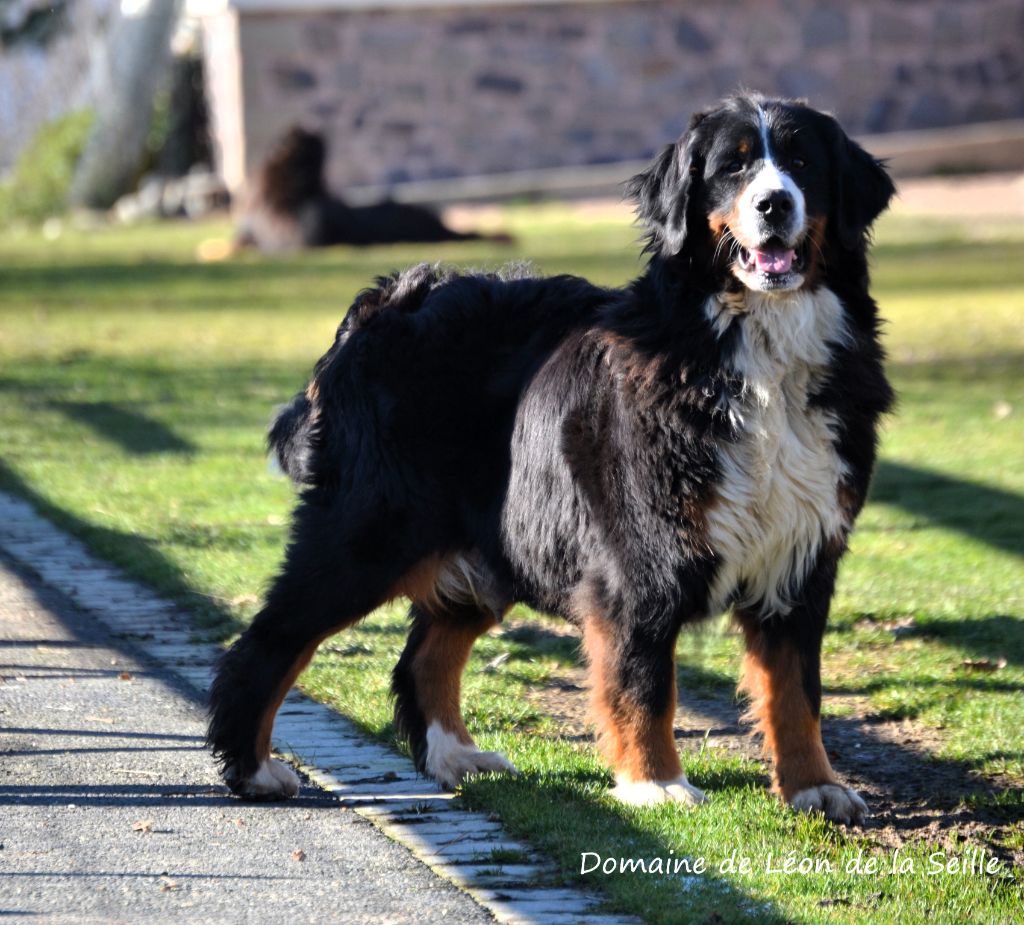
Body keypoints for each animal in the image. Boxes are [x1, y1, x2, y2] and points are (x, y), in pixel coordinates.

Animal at [209, 97, 897, 827]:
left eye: (801, 162)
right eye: (732, 167)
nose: (774, 203)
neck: (751, 345)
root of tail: (389, 299)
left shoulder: (802, 553)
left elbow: (797, 690)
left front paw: (814, 787)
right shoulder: (638, 560)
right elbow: (643, 682)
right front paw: (655, 783)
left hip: (489, 545)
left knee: (425, 656)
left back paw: (457, 756)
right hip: (369, 531)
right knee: (271, 640)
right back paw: (253, 767)